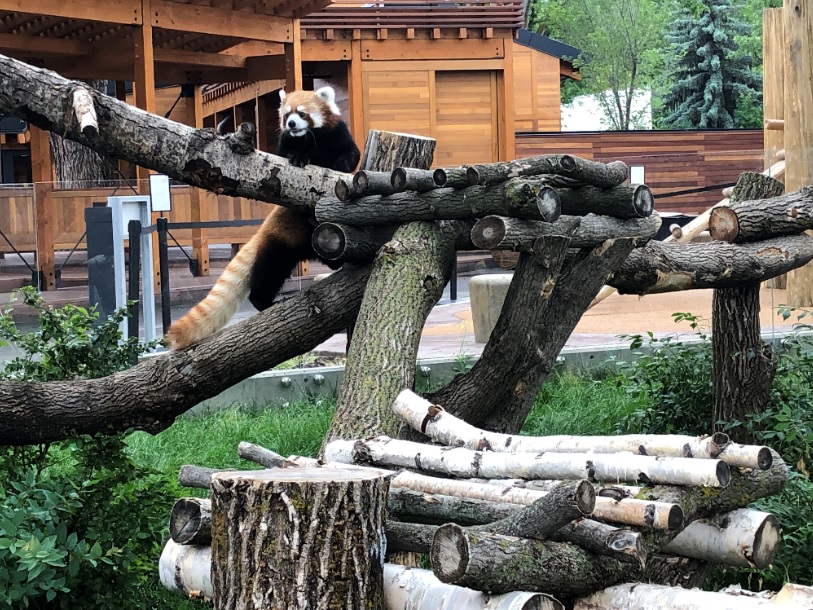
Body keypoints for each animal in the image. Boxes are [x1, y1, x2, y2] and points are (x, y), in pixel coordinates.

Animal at [167, 87, 360, 350]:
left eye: (302, 113)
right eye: (286, 114)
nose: (291, 124)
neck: (310, 140)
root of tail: (262, 230)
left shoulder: (338, 134)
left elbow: (352, 153)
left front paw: (344, 162)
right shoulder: (285, 144)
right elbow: (287, 154)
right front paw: (298, 157)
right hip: (280, 246)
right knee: (267, 273)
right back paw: (264, 302)